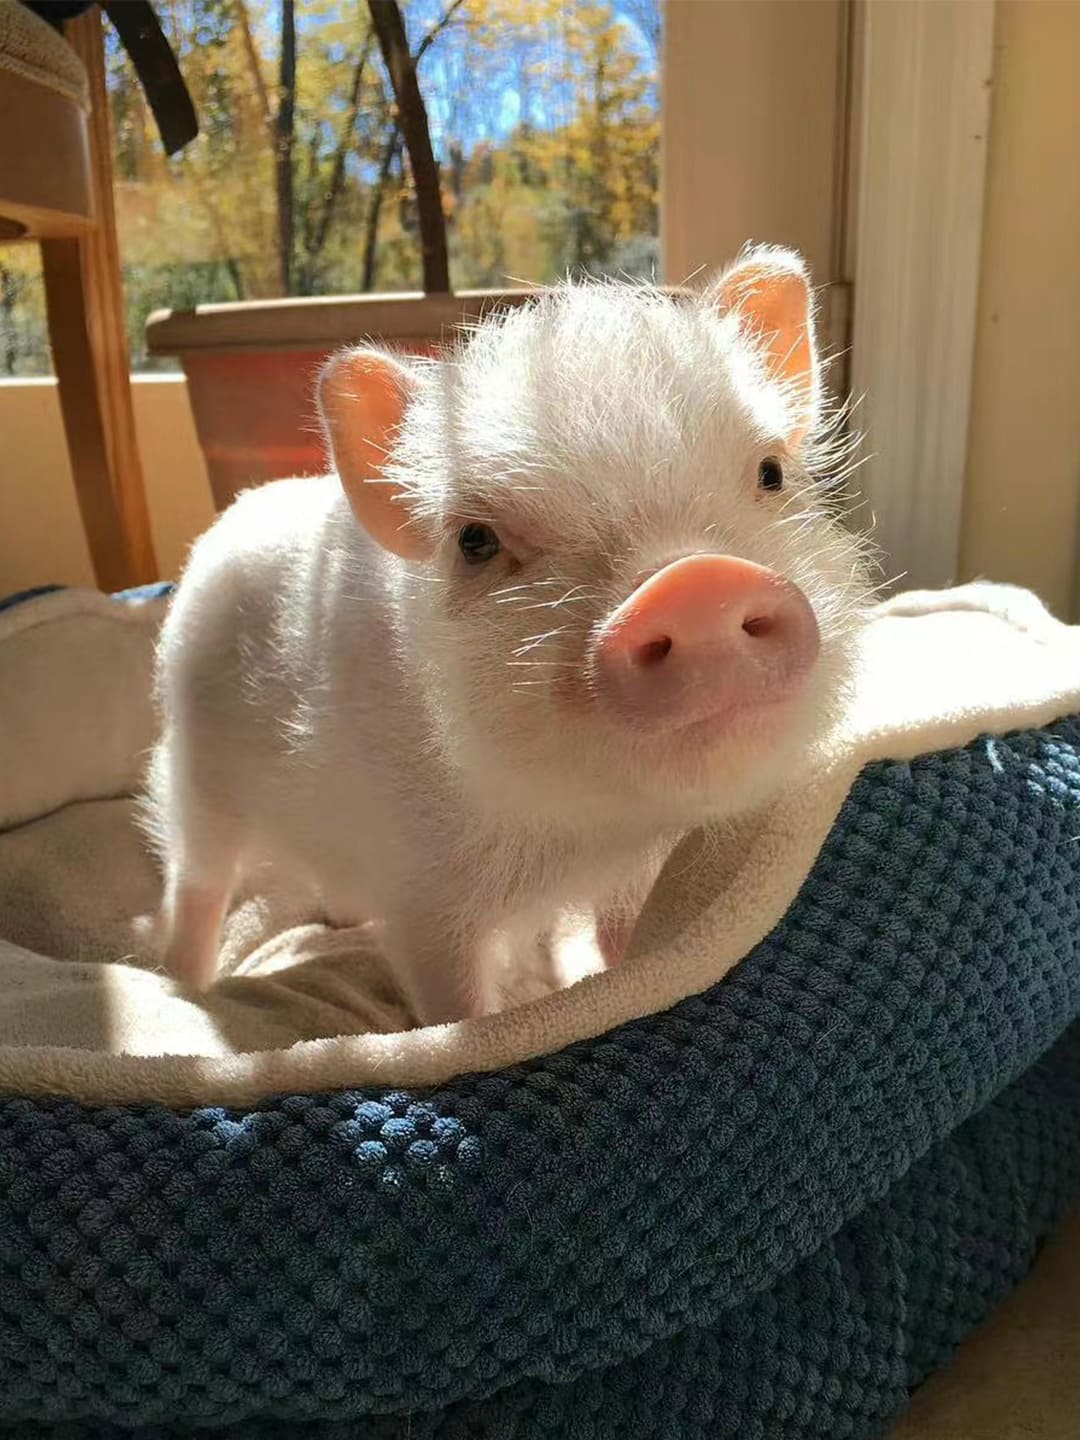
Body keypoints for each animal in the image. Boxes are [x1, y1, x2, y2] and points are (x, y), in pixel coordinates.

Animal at [144, 245, 873, 1026]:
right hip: (196, 772)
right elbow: (458, 1008)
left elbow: (625, 944)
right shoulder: (422, 892)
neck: (576, 837)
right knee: (196, 883)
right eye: (475, 540)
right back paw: (183, 987)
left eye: (771, 473)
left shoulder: (631, 873)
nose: (696, 582)